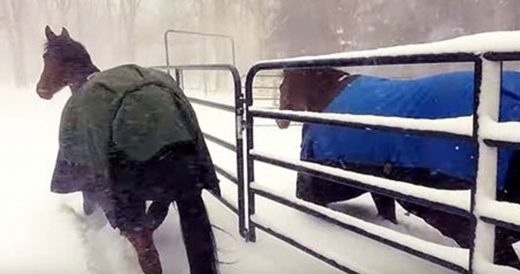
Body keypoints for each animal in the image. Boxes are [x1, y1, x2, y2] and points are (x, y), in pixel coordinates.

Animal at [36, 25, 219, 274]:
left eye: (47, 57)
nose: (41, 90)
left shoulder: (89, 186)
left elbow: (89, 211)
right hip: (168, 194)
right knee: (147, 231)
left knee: (145, 248)